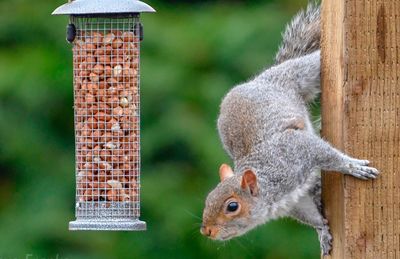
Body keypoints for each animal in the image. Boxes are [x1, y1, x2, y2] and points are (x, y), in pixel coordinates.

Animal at [202, 3, 380, 256]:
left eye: (232, 206)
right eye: (208, 200)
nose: (206, 230)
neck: (270, 186)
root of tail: (260, 79)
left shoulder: (295, 149)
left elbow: (329, 155)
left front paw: (352, 166)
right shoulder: (296, 201)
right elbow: (311, 214)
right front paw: (322, 232)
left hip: (302, 72)